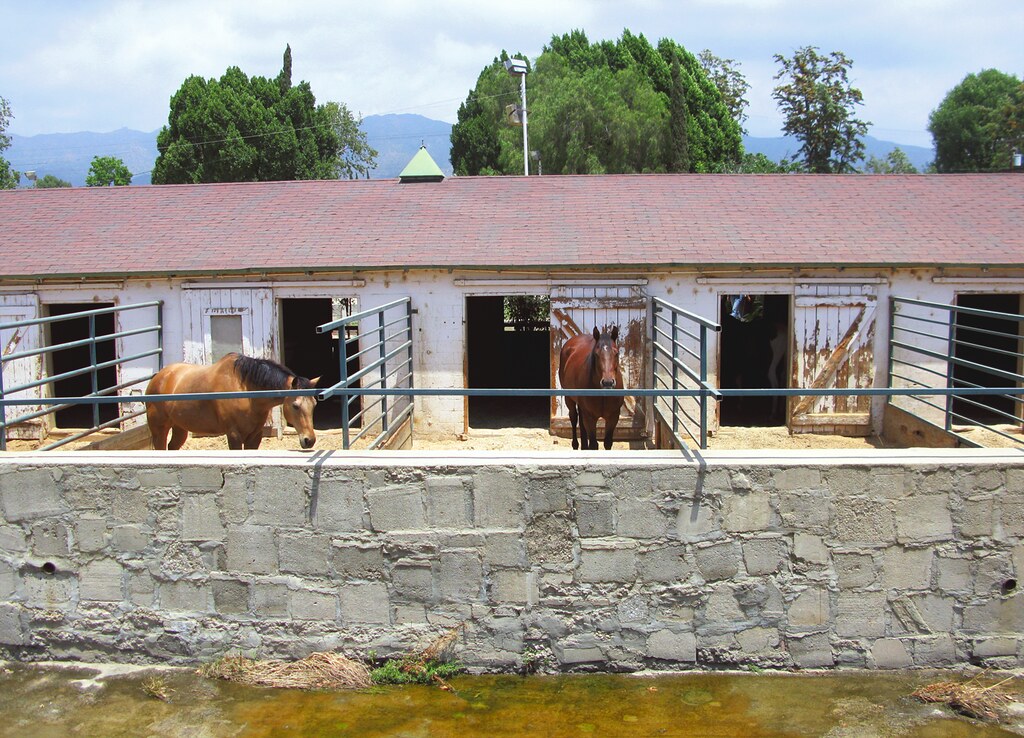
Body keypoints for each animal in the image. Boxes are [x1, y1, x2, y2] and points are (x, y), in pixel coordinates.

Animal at [145, 352, 319, 450]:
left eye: (314, 405)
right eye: (296, 406)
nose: (309, 440)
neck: (246, 391)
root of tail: (159, 376)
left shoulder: (254, 436)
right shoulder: (234, 435)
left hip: (180, 428)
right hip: (159, 430)